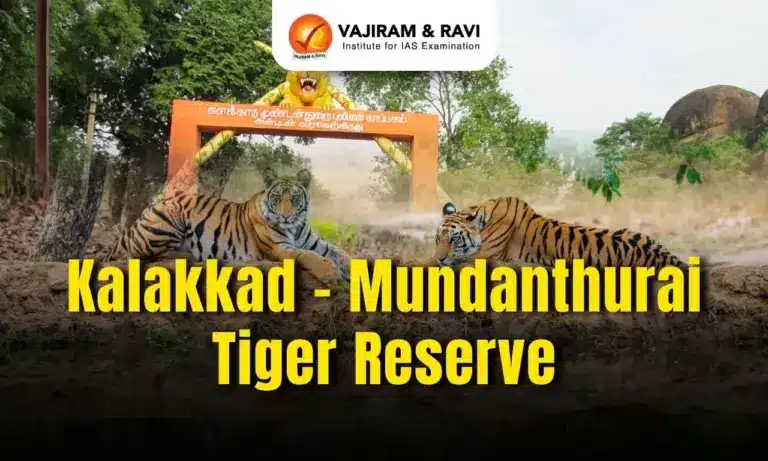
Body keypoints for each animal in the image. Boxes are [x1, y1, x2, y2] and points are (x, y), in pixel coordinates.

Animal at [102, 167, 351, 283]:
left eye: (294, 198)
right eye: (278, 197)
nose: (286, 217)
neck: (295, 227)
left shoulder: (314, 241)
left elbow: (341, 252)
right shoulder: (279, 248)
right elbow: (308, 256)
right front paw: (330, 272)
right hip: (168, 219)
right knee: (144, 256)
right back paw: (189, 255)